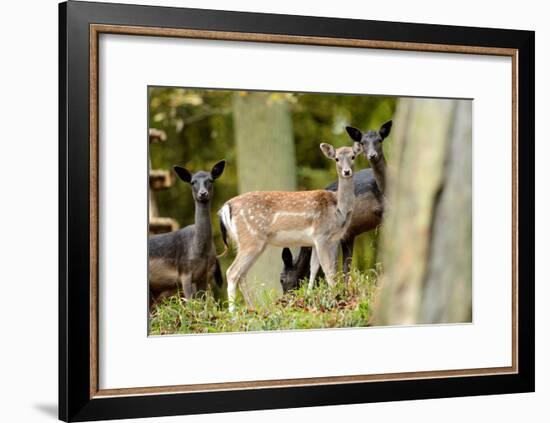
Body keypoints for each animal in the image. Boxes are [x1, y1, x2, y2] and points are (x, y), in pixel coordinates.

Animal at [149, 161, 226, 310]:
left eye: (210, 180)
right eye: (193, 182)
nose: (203, 193)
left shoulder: (204, 275)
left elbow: (202, 306)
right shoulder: (184, 273)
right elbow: (191, 305)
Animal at [220, 142, 366, 312]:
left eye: (353, 156)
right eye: (336, 158)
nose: (346, 171)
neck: (338, 210)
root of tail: (226, 207)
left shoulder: (318, 240)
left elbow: (314, 267)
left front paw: (309, 297)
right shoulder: (321, 235)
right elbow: (328, 269)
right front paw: (336, 297)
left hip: (250, 243)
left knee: (242, 274)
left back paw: (252, 308)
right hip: (251, 239)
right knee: (232, 272)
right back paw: (233, 313)